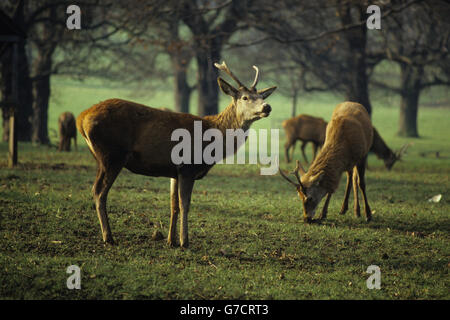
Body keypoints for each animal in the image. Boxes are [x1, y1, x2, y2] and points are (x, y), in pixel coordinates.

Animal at [75, 62, 276, 248]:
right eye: (245, 97)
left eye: (261, 96)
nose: (267, 106)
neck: (213, 139)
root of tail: (81, 118)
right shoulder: (188, 166)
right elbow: (184, 204)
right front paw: (184, 241)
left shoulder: (174, 171)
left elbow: (173, 205)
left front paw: (170, 240)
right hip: (111, 155)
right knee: (99, 191)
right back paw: (108, 237)